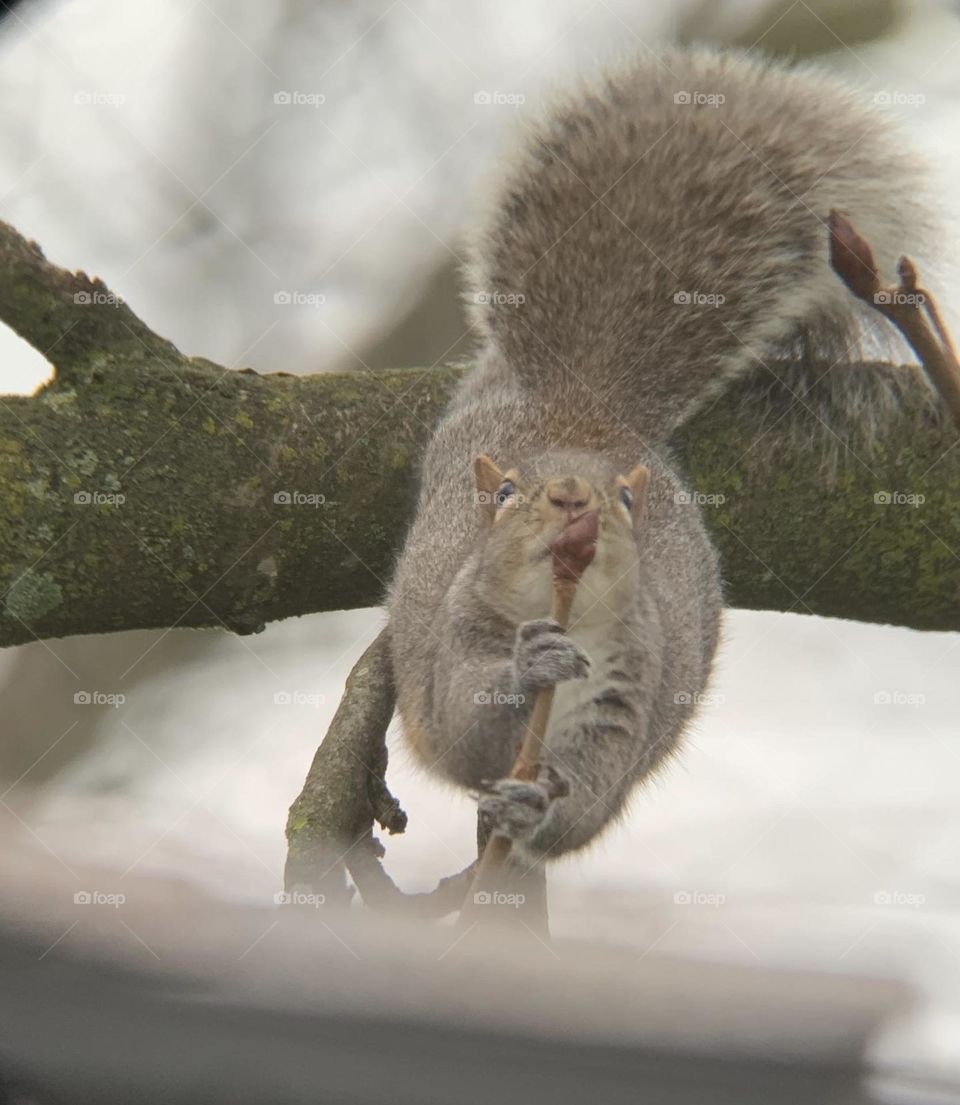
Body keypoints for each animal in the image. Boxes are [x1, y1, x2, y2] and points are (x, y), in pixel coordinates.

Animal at [386, 47, 937, 870]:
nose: (573, 497)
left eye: (626, 500)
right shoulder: (455, 639)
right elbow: (463, 727)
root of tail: (588, 398)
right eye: (507, 491)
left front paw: (535, 810)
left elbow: (590, 800)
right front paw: (526, 666)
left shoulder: (629, 689)